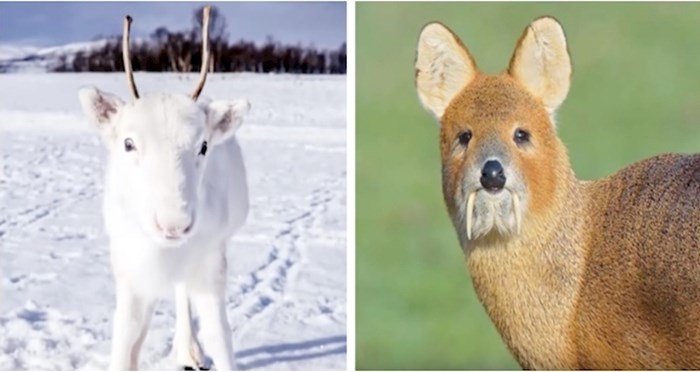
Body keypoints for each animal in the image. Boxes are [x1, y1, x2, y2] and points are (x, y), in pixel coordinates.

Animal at [78, 7, 249, 370]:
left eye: (204, 145)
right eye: (128, 143)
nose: (174, 224)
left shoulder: (211, 260)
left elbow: (220, 337)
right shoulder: (129, 270)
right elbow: (124, 345)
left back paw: (190, 351)